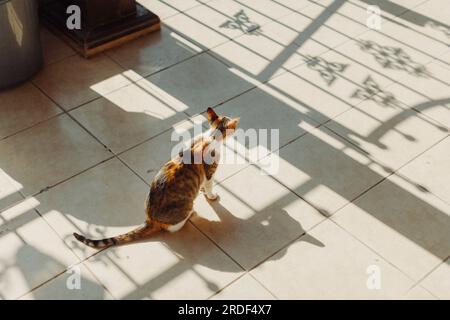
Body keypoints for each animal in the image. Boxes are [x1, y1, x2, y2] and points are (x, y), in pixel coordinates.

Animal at [74, 109, 239, 249]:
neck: (211, 136)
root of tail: (150, 218)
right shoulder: (210, 172)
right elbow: (210, 185)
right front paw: (211, 196)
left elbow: (204, 185)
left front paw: (203, 191)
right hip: (186, 205)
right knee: (173, 227)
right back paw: (190, 215)